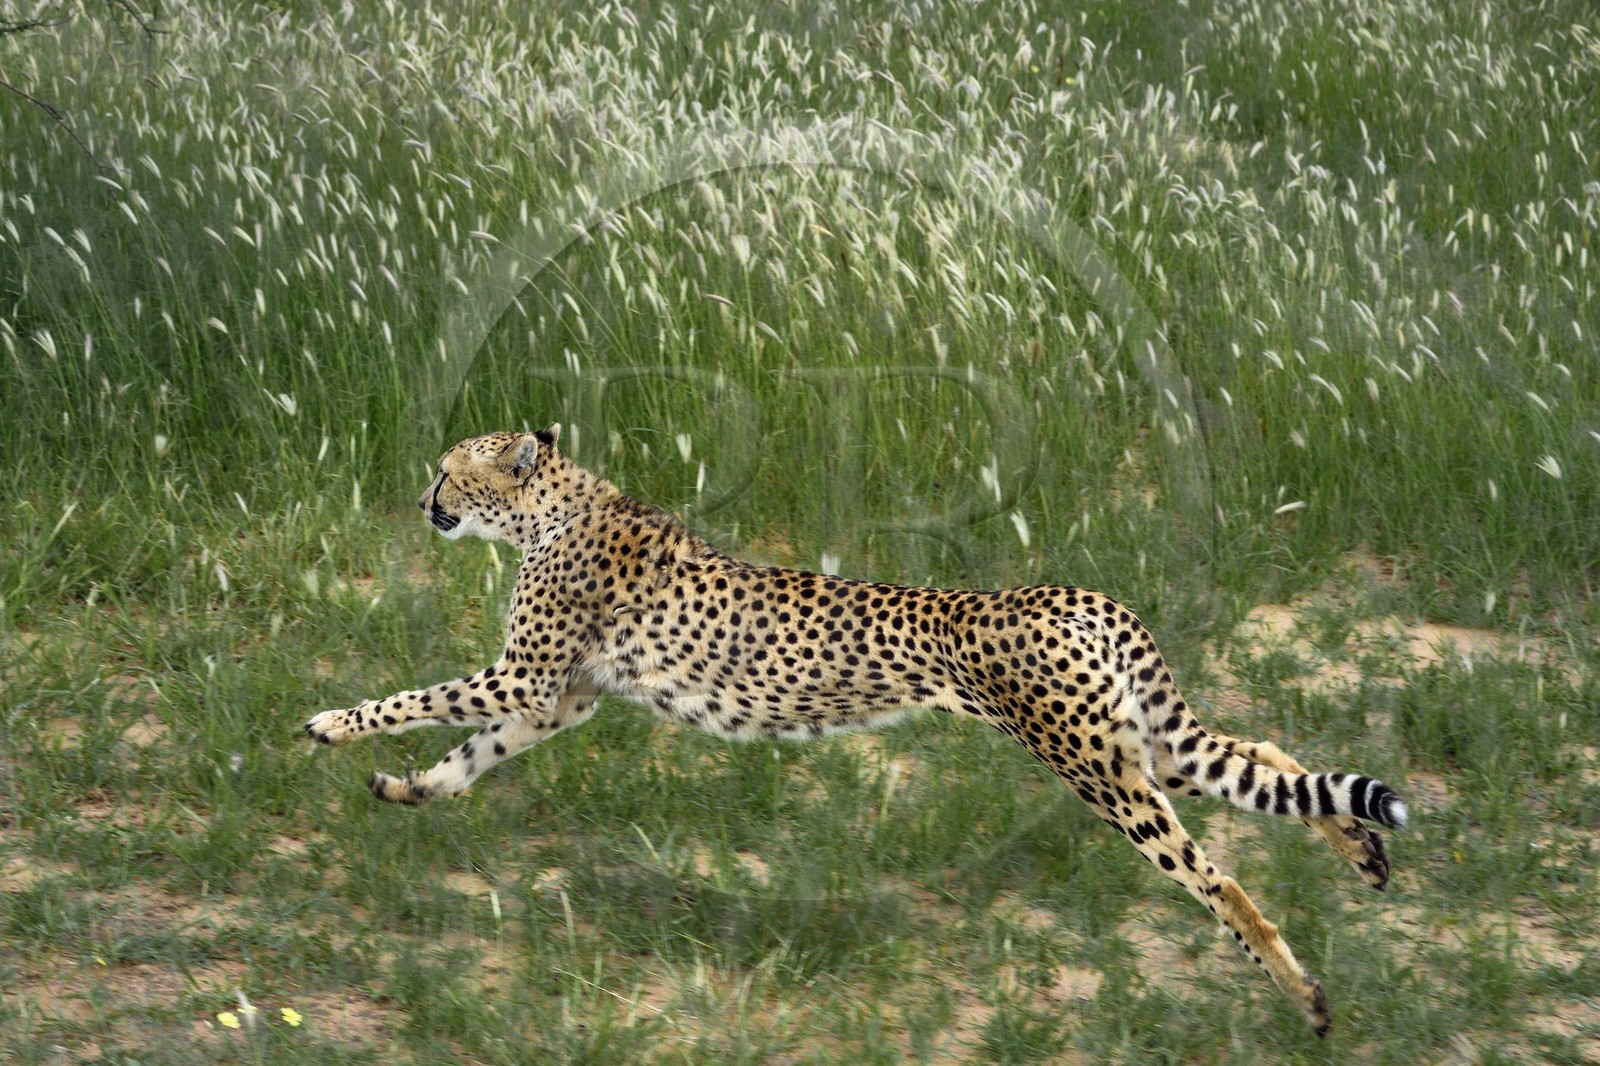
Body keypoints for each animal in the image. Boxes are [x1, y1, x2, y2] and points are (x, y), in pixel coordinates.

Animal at [305, 424, 1406, 1034]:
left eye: (450, 470)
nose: (421, 499)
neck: (556, 505)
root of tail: (1082, 593)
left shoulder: (527, 676)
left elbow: (418, 698)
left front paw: (329, 723)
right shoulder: (553, 699)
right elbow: (467, 754)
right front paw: (407, 788)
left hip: (1098, 768)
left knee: (1217, 876)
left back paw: (1304, 994)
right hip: (1144, 744)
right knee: (1265, 758)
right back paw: (1362, 852)